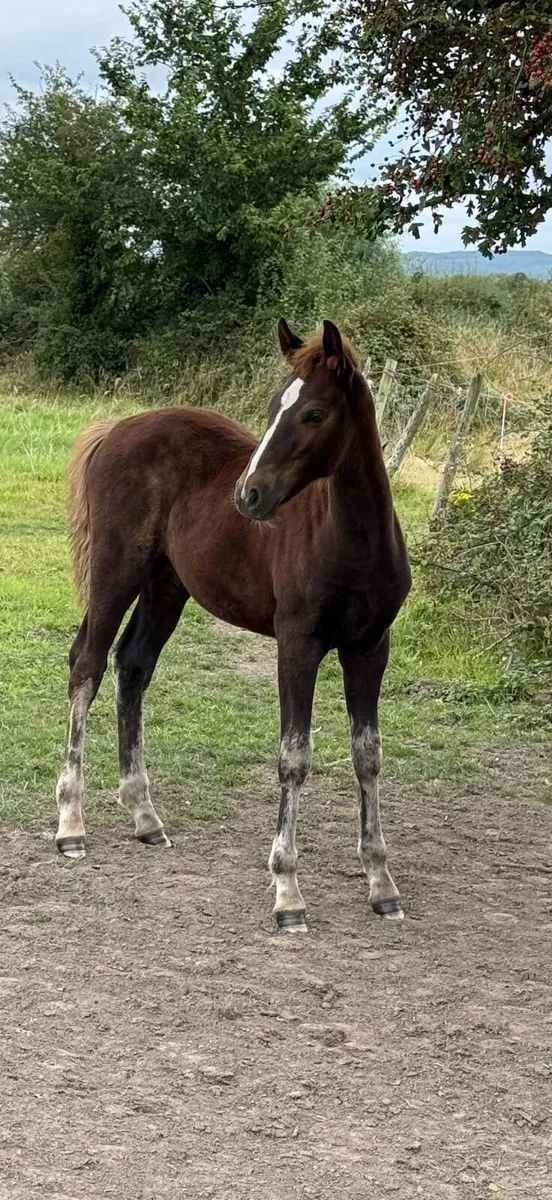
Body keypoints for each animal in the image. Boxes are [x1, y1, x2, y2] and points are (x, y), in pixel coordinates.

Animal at [55, 318, 411, 933]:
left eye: (314, 413)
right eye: (272, 407)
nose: (249, 495)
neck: (354, 541)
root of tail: (115, 430)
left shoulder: (370, 648)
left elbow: (368, 757)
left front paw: (381, 884)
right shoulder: (297, 645)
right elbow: (294, 759)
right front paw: (287, 893)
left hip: (167, 586)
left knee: (133, 666)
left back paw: (145, 817)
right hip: (116, 572)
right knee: (88, 664)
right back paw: (71, 825)